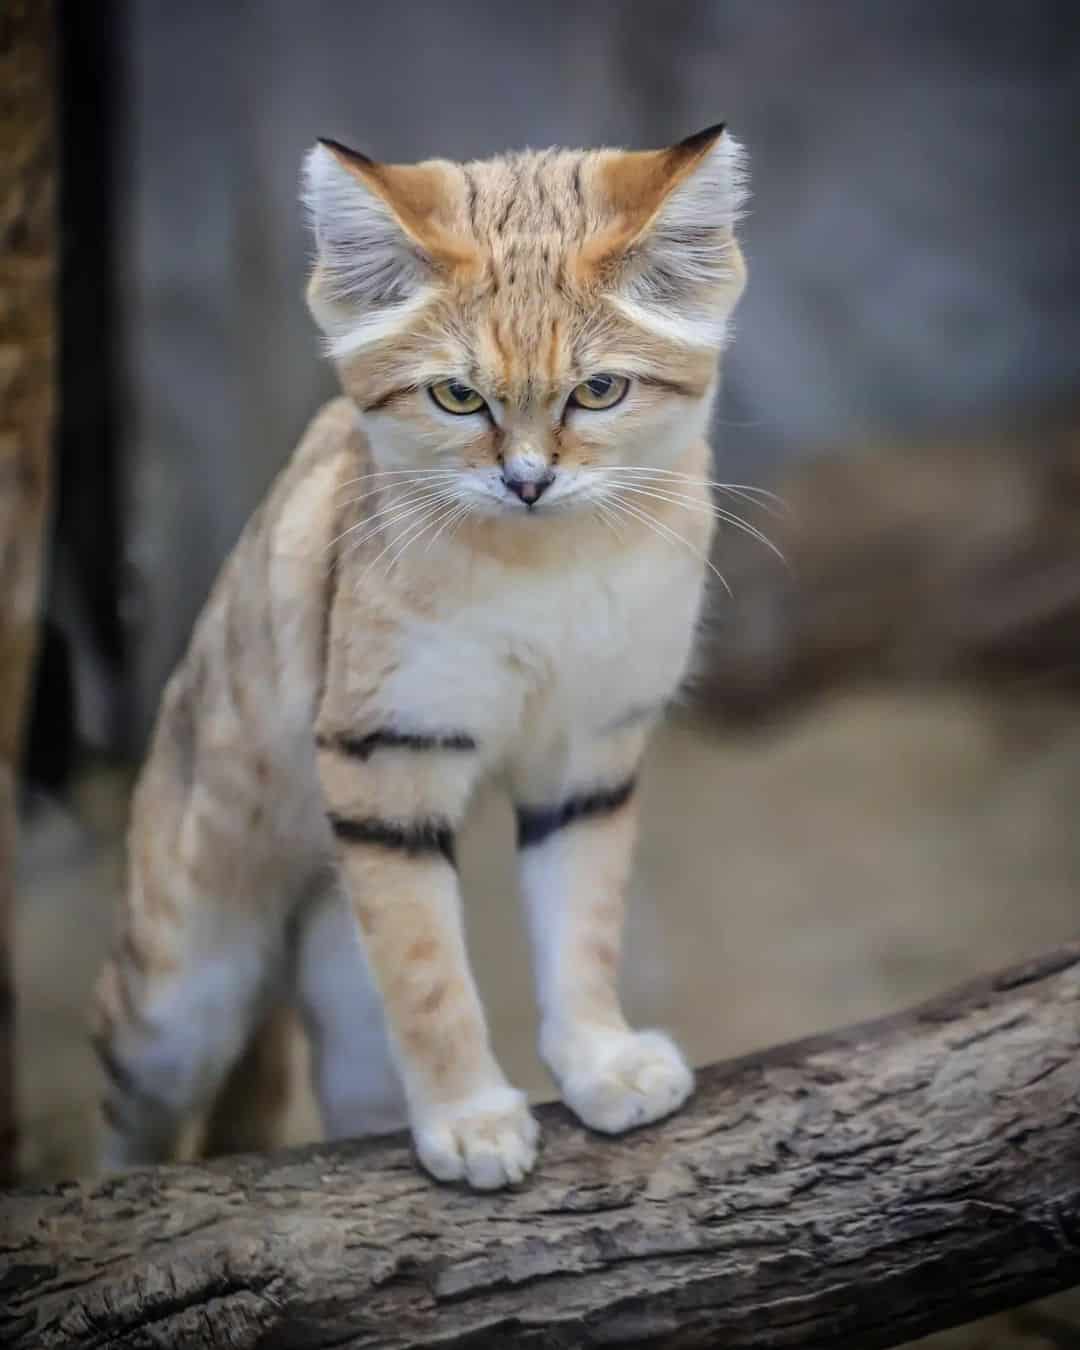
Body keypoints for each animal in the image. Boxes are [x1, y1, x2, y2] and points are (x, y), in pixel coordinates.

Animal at [93, 121, 745, 1188]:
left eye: (599, 390)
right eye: (457, 396)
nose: (528, 483)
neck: (546, 567)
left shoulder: (588, 753)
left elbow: (584, 921)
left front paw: (600, 1059)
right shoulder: (386, 758)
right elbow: (429, 972)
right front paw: (471, 1117)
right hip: (179, 991)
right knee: (130, 1099)